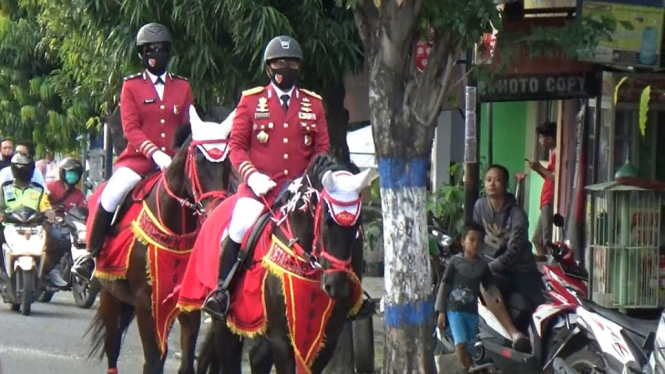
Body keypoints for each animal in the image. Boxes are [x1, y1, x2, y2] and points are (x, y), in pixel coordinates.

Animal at [85, 106, 235, 374]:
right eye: (199, 160)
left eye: (227, 162)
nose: (216, 209)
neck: (175, 231)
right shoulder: (146, 305)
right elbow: (153, 362)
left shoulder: (186, 306)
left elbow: (184, 364)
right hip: (110, 294)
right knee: (112, 349)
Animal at [189, 156, 370, 374]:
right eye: (327, 221)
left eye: (357, 224)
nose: (337, 286)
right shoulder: (281, 340)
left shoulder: (327, 341)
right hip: (223, 322)